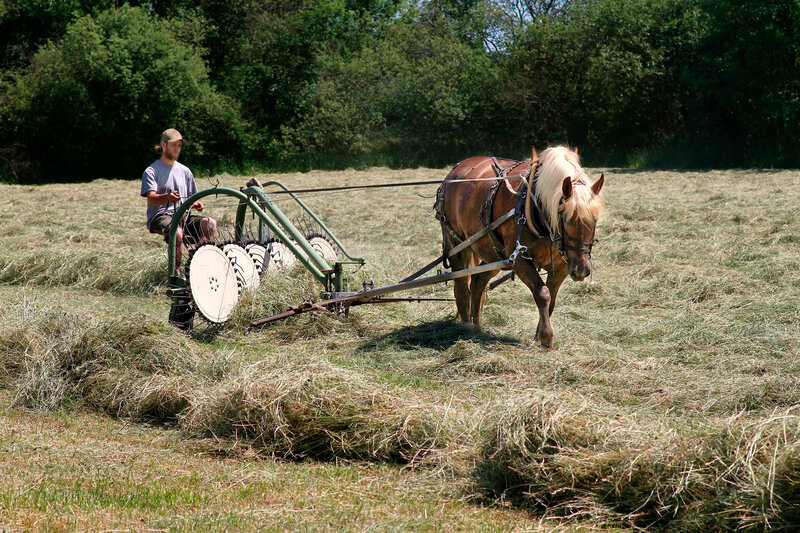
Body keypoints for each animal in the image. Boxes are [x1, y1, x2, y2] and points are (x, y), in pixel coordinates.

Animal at [436, 146, 605, 348]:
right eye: (566, 219)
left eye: (595, 219)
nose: (581, 270)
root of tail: (454, 171)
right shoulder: (518, 258)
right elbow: (543, 293)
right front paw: (546, 336)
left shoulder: (562, 264)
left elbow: (551, 299)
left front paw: (539, 336)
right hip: (459, 245)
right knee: (462, 285)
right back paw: (467, 328)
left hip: (492, 254)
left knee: (478, 282)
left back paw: (477, 327)